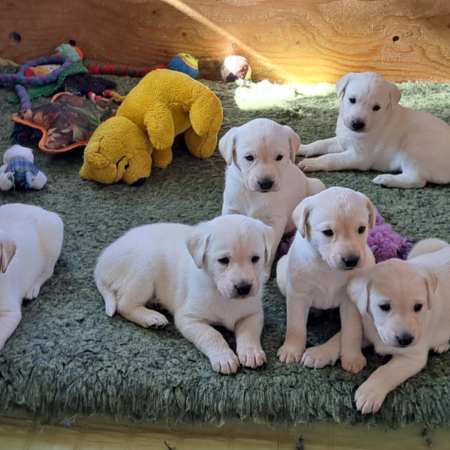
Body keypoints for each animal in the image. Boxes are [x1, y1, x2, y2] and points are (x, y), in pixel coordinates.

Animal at [95, 214, 274, 374]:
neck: (220, 293)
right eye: (223, 260)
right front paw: (224, 357)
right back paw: (151, 318)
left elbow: (249, 333)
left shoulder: (253, 313)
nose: (244, 288)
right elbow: (212, 335)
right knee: (124, 304)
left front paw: (251, 352)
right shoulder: (188, 318)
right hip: (144, 267)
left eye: (255, 258)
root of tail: (102, 260)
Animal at [219, 118, 325, 271]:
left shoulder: (274, 221)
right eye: (249, 157)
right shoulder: (231, 209)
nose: (266, 183)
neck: (255, 194)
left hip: (316, 185)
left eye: (279, 157)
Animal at [276, 187, 375, 373]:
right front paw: (291, 349)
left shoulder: (351, 303)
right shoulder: (298, 294)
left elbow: (352, 330)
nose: (351, 260)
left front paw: (352, 357)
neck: (327, 266)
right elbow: (295, 325)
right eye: (328, 232)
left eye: (361, 229)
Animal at [298, 72, 450, 188]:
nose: (357, 124)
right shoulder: (342, 141)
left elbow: (331, 158)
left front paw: (311, 163)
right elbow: (321, 143)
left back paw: (385, 179)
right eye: (352, 100)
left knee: (417, 180)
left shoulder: (358, 157)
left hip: (414, 149)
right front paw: (302, 147)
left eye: (376, 107)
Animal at [347, 238, 450, 414]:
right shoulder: (367, 326)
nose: (405, 340)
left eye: (418, 307)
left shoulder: (412, 357)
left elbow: (385, 371)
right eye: (384, 307)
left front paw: (369, 392)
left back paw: (442, 344)